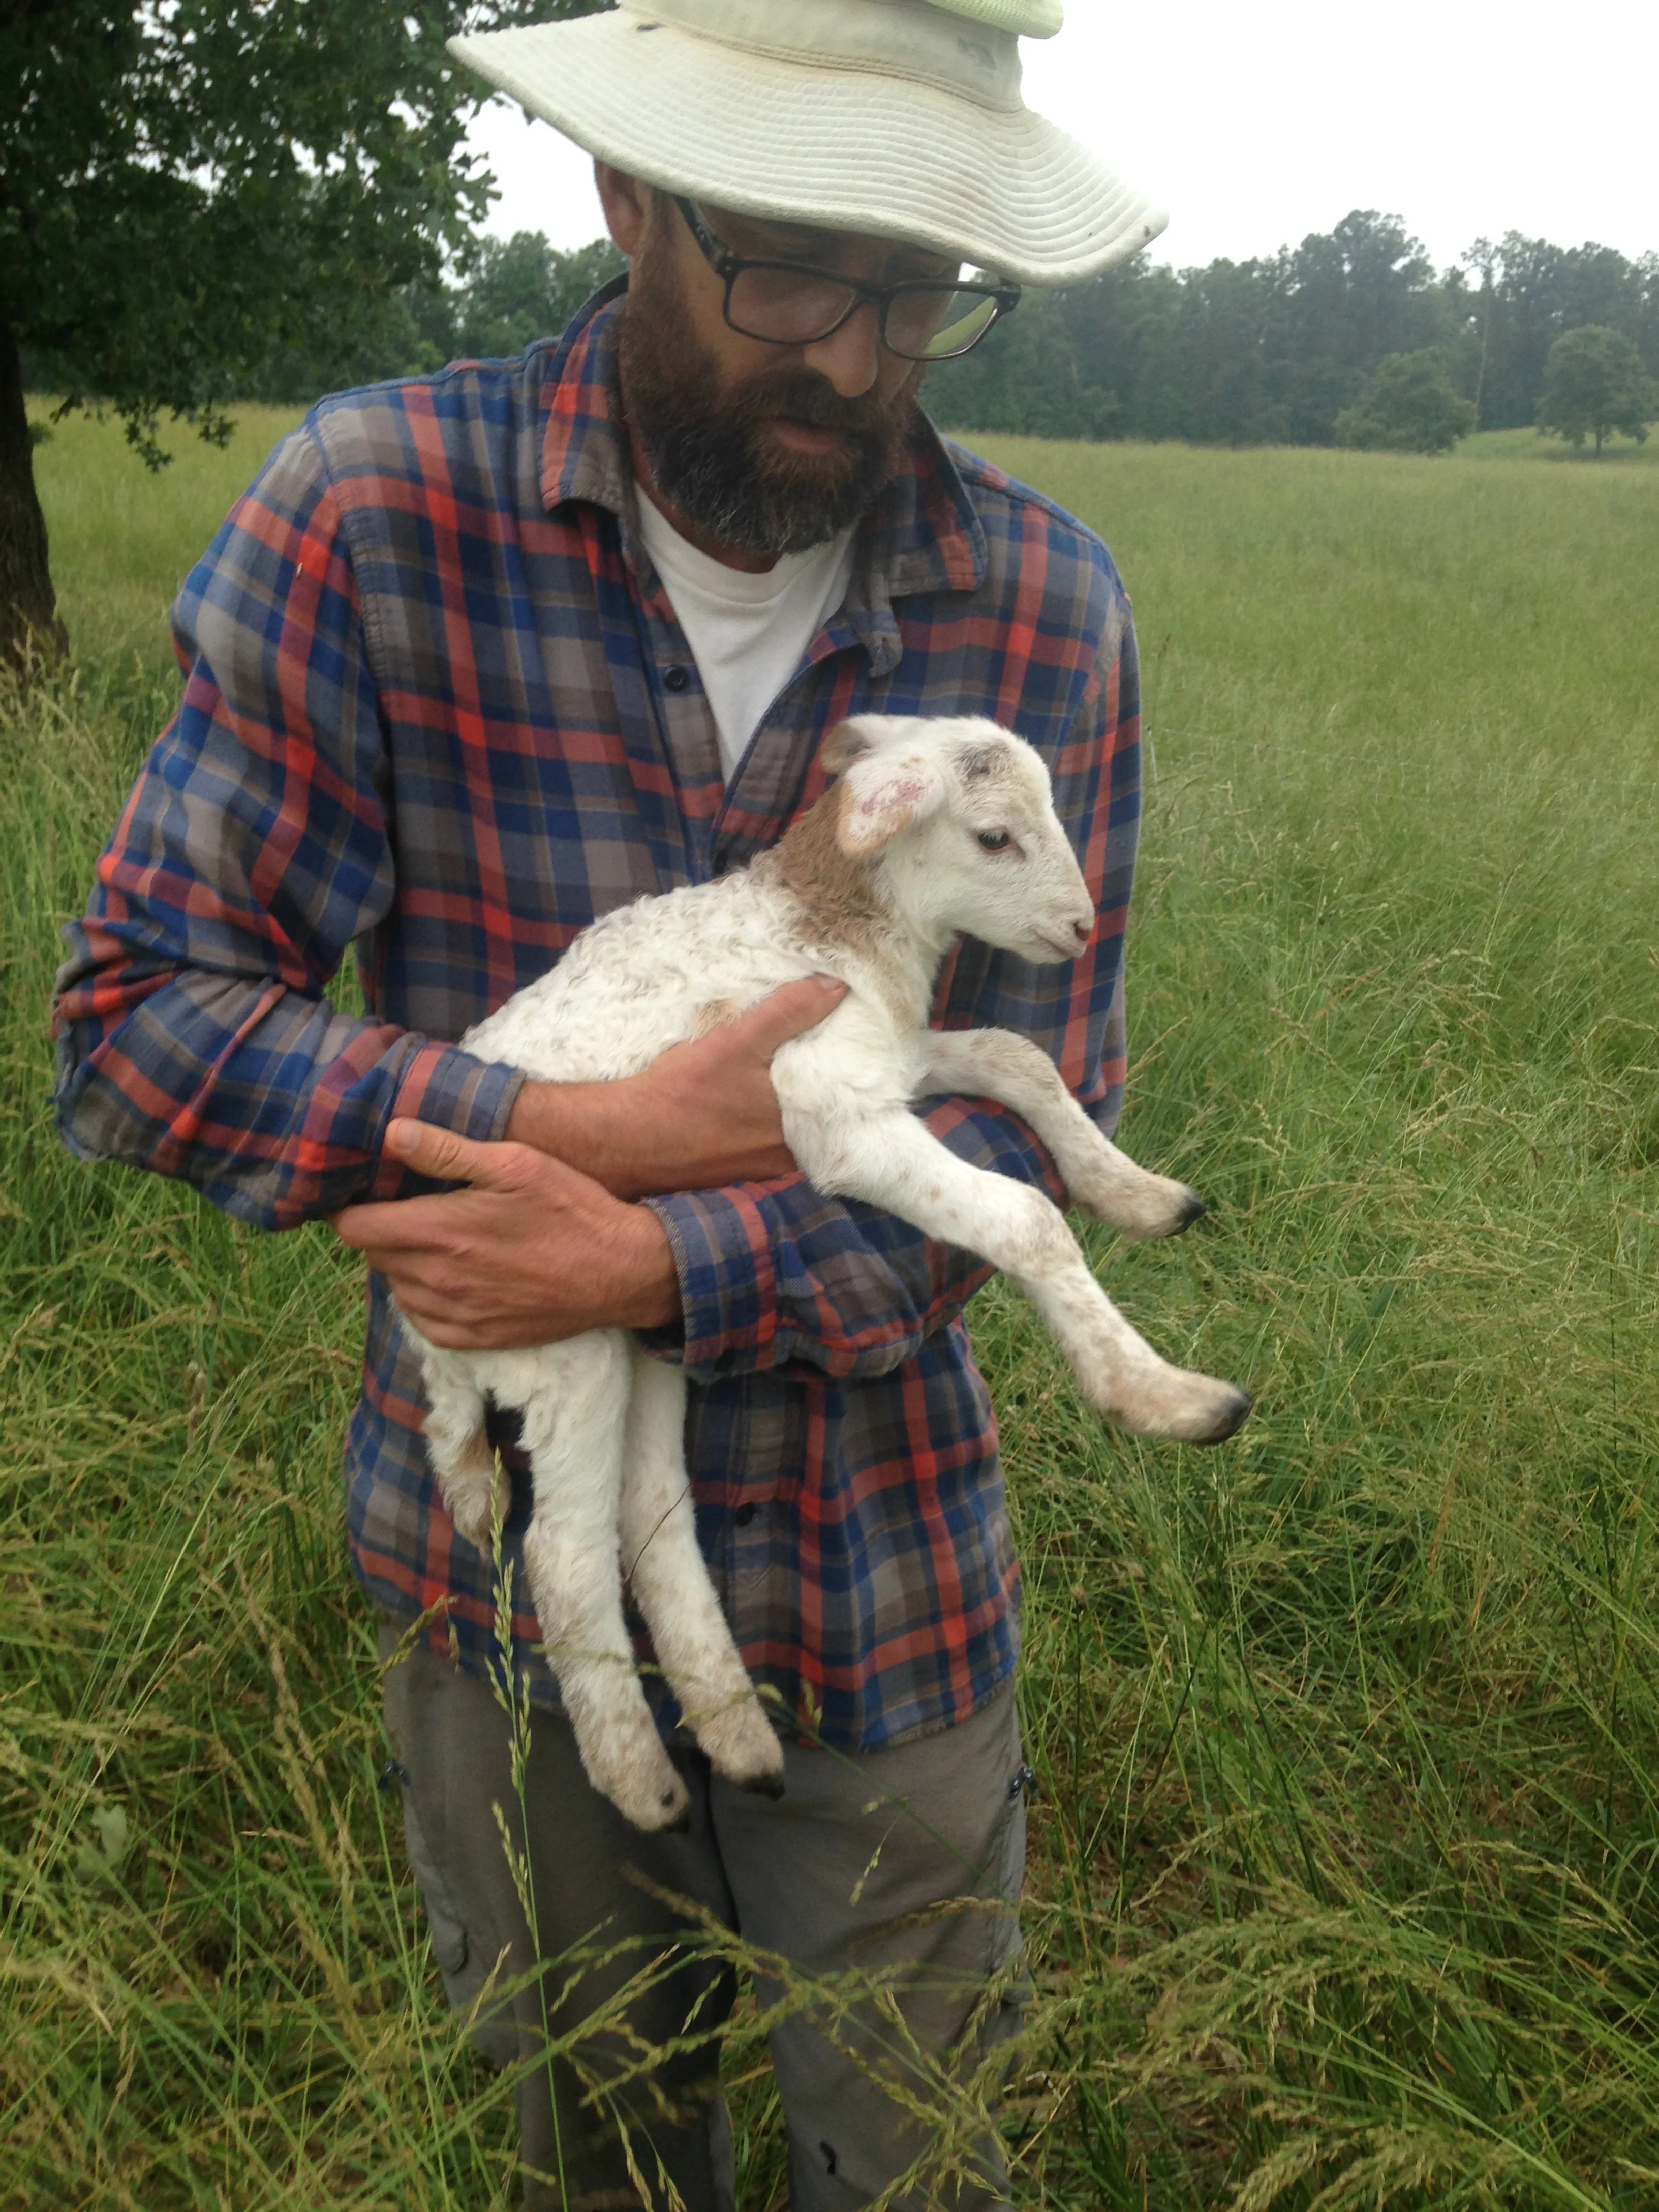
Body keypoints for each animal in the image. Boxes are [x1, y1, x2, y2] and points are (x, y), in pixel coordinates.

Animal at [399, 713, 1250, 1832]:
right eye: (993, 837)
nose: (1077, 927)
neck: (835, 926)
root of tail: (426, 1348)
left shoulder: (896, 1058)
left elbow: (1016, 1056)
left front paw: (1141, 1196)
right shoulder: (835, 1114)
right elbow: (1022, 1217)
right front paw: (1162, 1395)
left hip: (637, 1329)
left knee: (652, 1510)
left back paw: (740, 1737)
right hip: (555, 1335)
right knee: (565, 1554)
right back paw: (645, 1782)